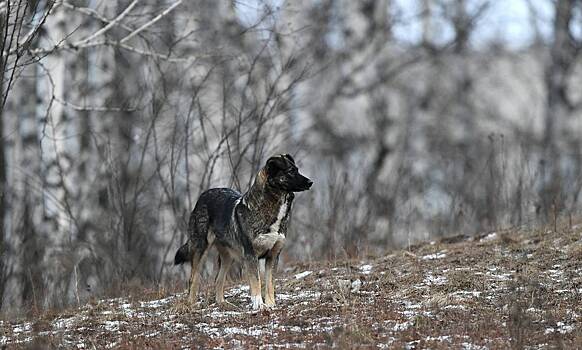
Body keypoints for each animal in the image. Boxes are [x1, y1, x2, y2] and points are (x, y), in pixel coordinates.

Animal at [175, 154, 314, 310]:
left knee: (218, 279)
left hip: (228, 256)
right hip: (201, 249)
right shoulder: (251, 255)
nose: (310, 182)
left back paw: (223, 303)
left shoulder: (273, 256)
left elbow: (270, 284)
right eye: (290, 171)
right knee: (193, 278)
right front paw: (259, 305)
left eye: (297, 169)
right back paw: (192, 304)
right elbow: (256, 282)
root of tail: (202, 196)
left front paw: (271, 305)